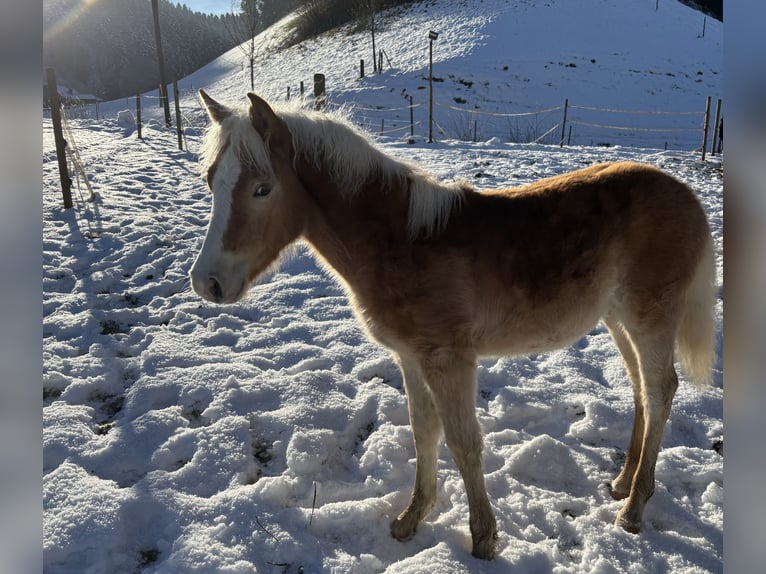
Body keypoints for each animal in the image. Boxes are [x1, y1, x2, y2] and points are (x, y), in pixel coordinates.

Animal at [190, 91, 720, 564]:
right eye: (212, 182)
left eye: (262, 188)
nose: (206, 283)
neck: (399, 243)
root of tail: (688, 196)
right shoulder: (410, 357)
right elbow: (424, 433)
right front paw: (411, 518)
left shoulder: (448, 360)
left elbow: (465, 443)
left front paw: (483, 539)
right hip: (617, 319)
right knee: (641, 390)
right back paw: (622, 484)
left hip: (649, 317)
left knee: (660, 389)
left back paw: (633, 510)